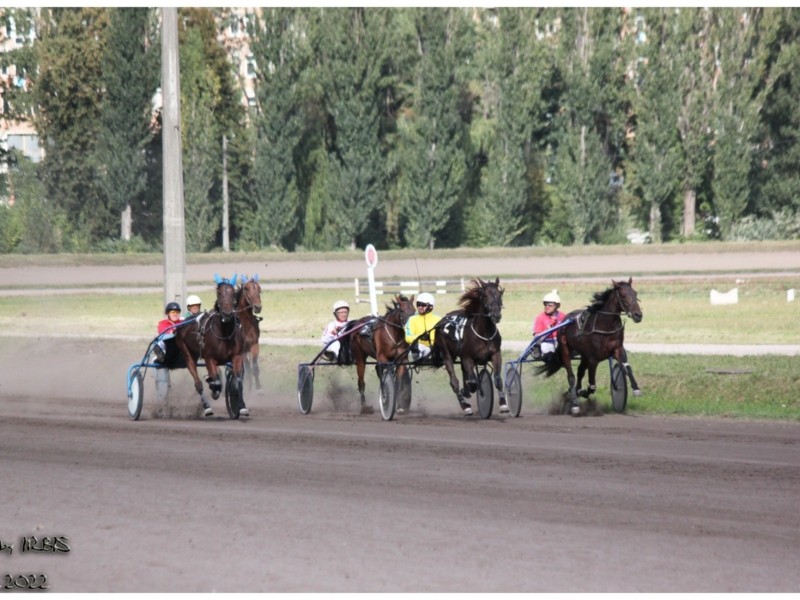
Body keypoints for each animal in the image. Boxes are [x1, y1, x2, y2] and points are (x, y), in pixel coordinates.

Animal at [175, 272, 247, 418]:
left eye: (232, 293)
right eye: (219, 293)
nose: (227, 314)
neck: (224, 333)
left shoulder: (236, 357)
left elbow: (238, 381)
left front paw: (241, 407)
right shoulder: (209, 358)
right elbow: (215, 380)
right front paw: (214, 389)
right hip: (187, 354)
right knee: (198, 383)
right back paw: (207, 407)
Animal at [432, 278, 506, 414]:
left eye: (499, 294)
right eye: (485, 295)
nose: (496, 315)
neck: (484, 333)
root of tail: (443, 320)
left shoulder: (496, 354)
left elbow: (498, 379)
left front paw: (503, 403)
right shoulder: (467, 357)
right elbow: (473, 382)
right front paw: (475, 391)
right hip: (446, 354)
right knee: (454, 381)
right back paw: (465, 405)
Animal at [536, 278, 644, 414]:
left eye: (635, 293)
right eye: (623, 295)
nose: (638, 315)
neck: (605, 325)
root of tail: (564, 321)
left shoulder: (617, 349)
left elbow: (627, 367)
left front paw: (636, 388)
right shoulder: (593, 359)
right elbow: (592, 386)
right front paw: (580, 394)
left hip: (583, 355)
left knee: (580, 371)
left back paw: (574, 392)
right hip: (566, 350)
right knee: (571, 376)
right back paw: (574, 402)